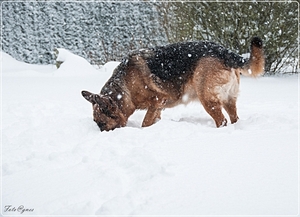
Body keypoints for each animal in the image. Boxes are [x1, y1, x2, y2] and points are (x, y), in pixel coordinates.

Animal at [81, 36, 264, 131]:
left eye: (102, 123)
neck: (124, 87)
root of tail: (224, 51)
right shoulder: (158, 108)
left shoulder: (156, 101)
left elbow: (145, 123)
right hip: (228, 100)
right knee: (234, 119)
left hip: (207, 99)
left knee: (222, 121)